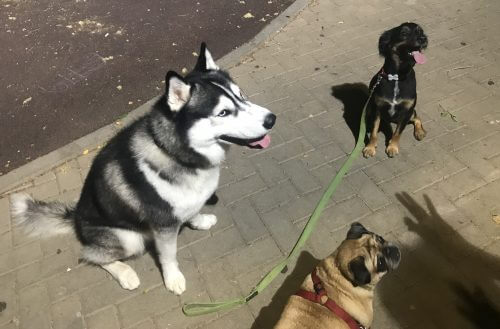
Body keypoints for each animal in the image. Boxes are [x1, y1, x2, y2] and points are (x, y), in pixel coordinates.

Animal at [362, 21, 428, 158]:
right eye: (404, 33)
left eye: (421, 31)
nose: (423, 38)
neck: (397, 77)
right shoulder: (377, 109)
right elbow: (374, 132)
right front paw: (370, 147)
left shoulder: (407, 111)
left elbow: (397, 133)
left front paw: (392, 147)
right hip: (370, 108)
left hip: (410, 114)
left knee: (417, 117)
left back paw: (419, 132)